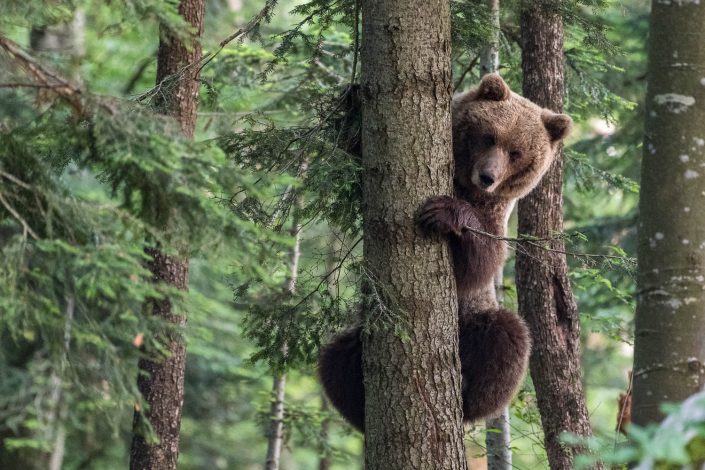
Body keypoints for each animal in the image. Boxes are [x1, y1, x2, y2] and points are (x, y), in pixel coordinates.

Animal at [316, 74, 568, 434]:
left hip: (472, 319)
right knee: (336, 357)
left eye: (517, 152)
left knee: (507, 337)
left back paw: (467, 392)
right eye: (490, 136)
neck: (464, 184)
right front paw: (352, 100)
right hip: (362, 334)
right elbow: (359, 157)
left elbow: (481, 261)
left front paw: (445, 212)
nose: (488, 176)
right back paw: (360, 402)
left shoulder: (493, 215)